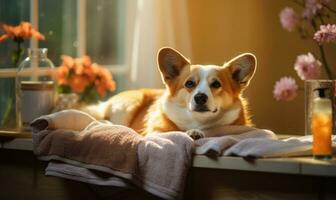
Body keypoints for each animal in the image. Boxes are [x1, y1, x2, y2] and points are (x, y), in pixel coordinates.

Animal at [85, 47, 256, 139]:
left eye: (216, 84)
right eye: (189, 83)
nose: (200, 97)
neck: (198, 122)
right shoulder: (155, 131)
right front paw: (191, 133)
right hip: (128, 106)